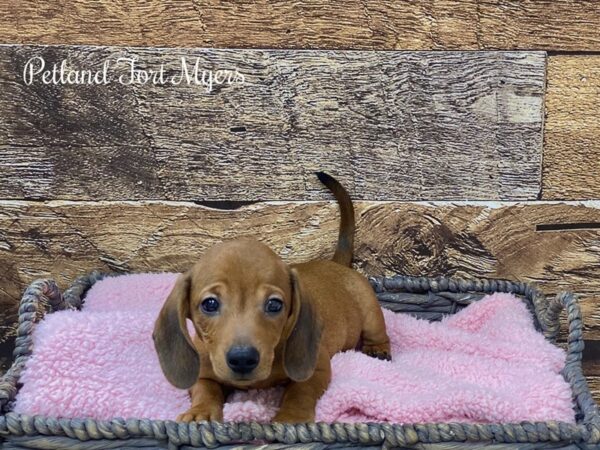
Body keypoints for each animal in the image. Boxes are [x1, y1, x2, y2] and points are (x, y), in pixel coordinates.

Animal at [152, 172, 392, 422]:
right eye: (210, 304)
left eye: (274, 304)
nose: (242, 359)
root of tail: (337, 264)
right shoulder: (203, 372)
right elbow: (205, 389)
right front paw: (201, 412)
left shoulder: (317, 368)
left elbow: (299, 391)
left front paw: (291, 417)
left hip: (371, 313)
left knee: (378, 333)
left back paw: (378, 349)